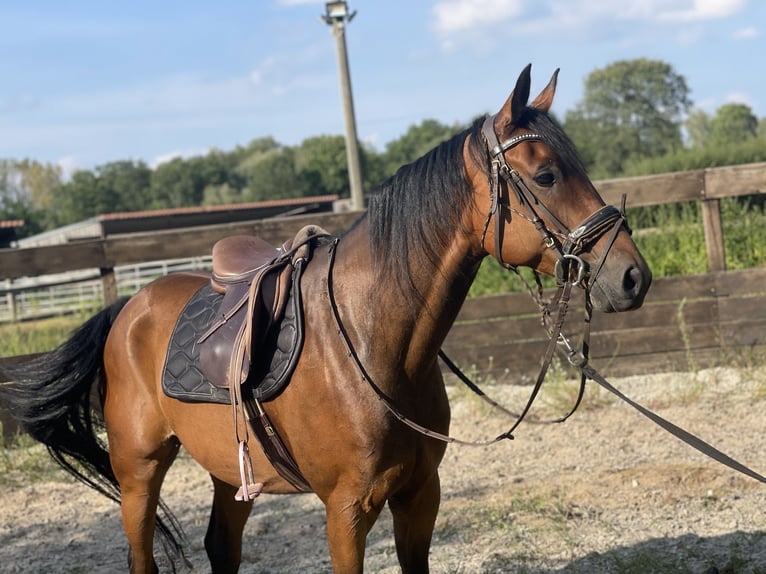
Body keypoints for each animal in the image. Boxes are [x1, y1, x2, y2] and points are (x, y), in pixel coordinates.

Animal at [3, 65, 656, 572]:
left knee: (221, 548)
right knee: (141, 553)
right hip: (139, 472)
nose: (632, 276)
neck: (374, 345)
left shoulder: (420, 497)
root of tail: (129, 307)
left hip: (230, 472)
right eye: (546, 175)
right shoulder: (346, 513)